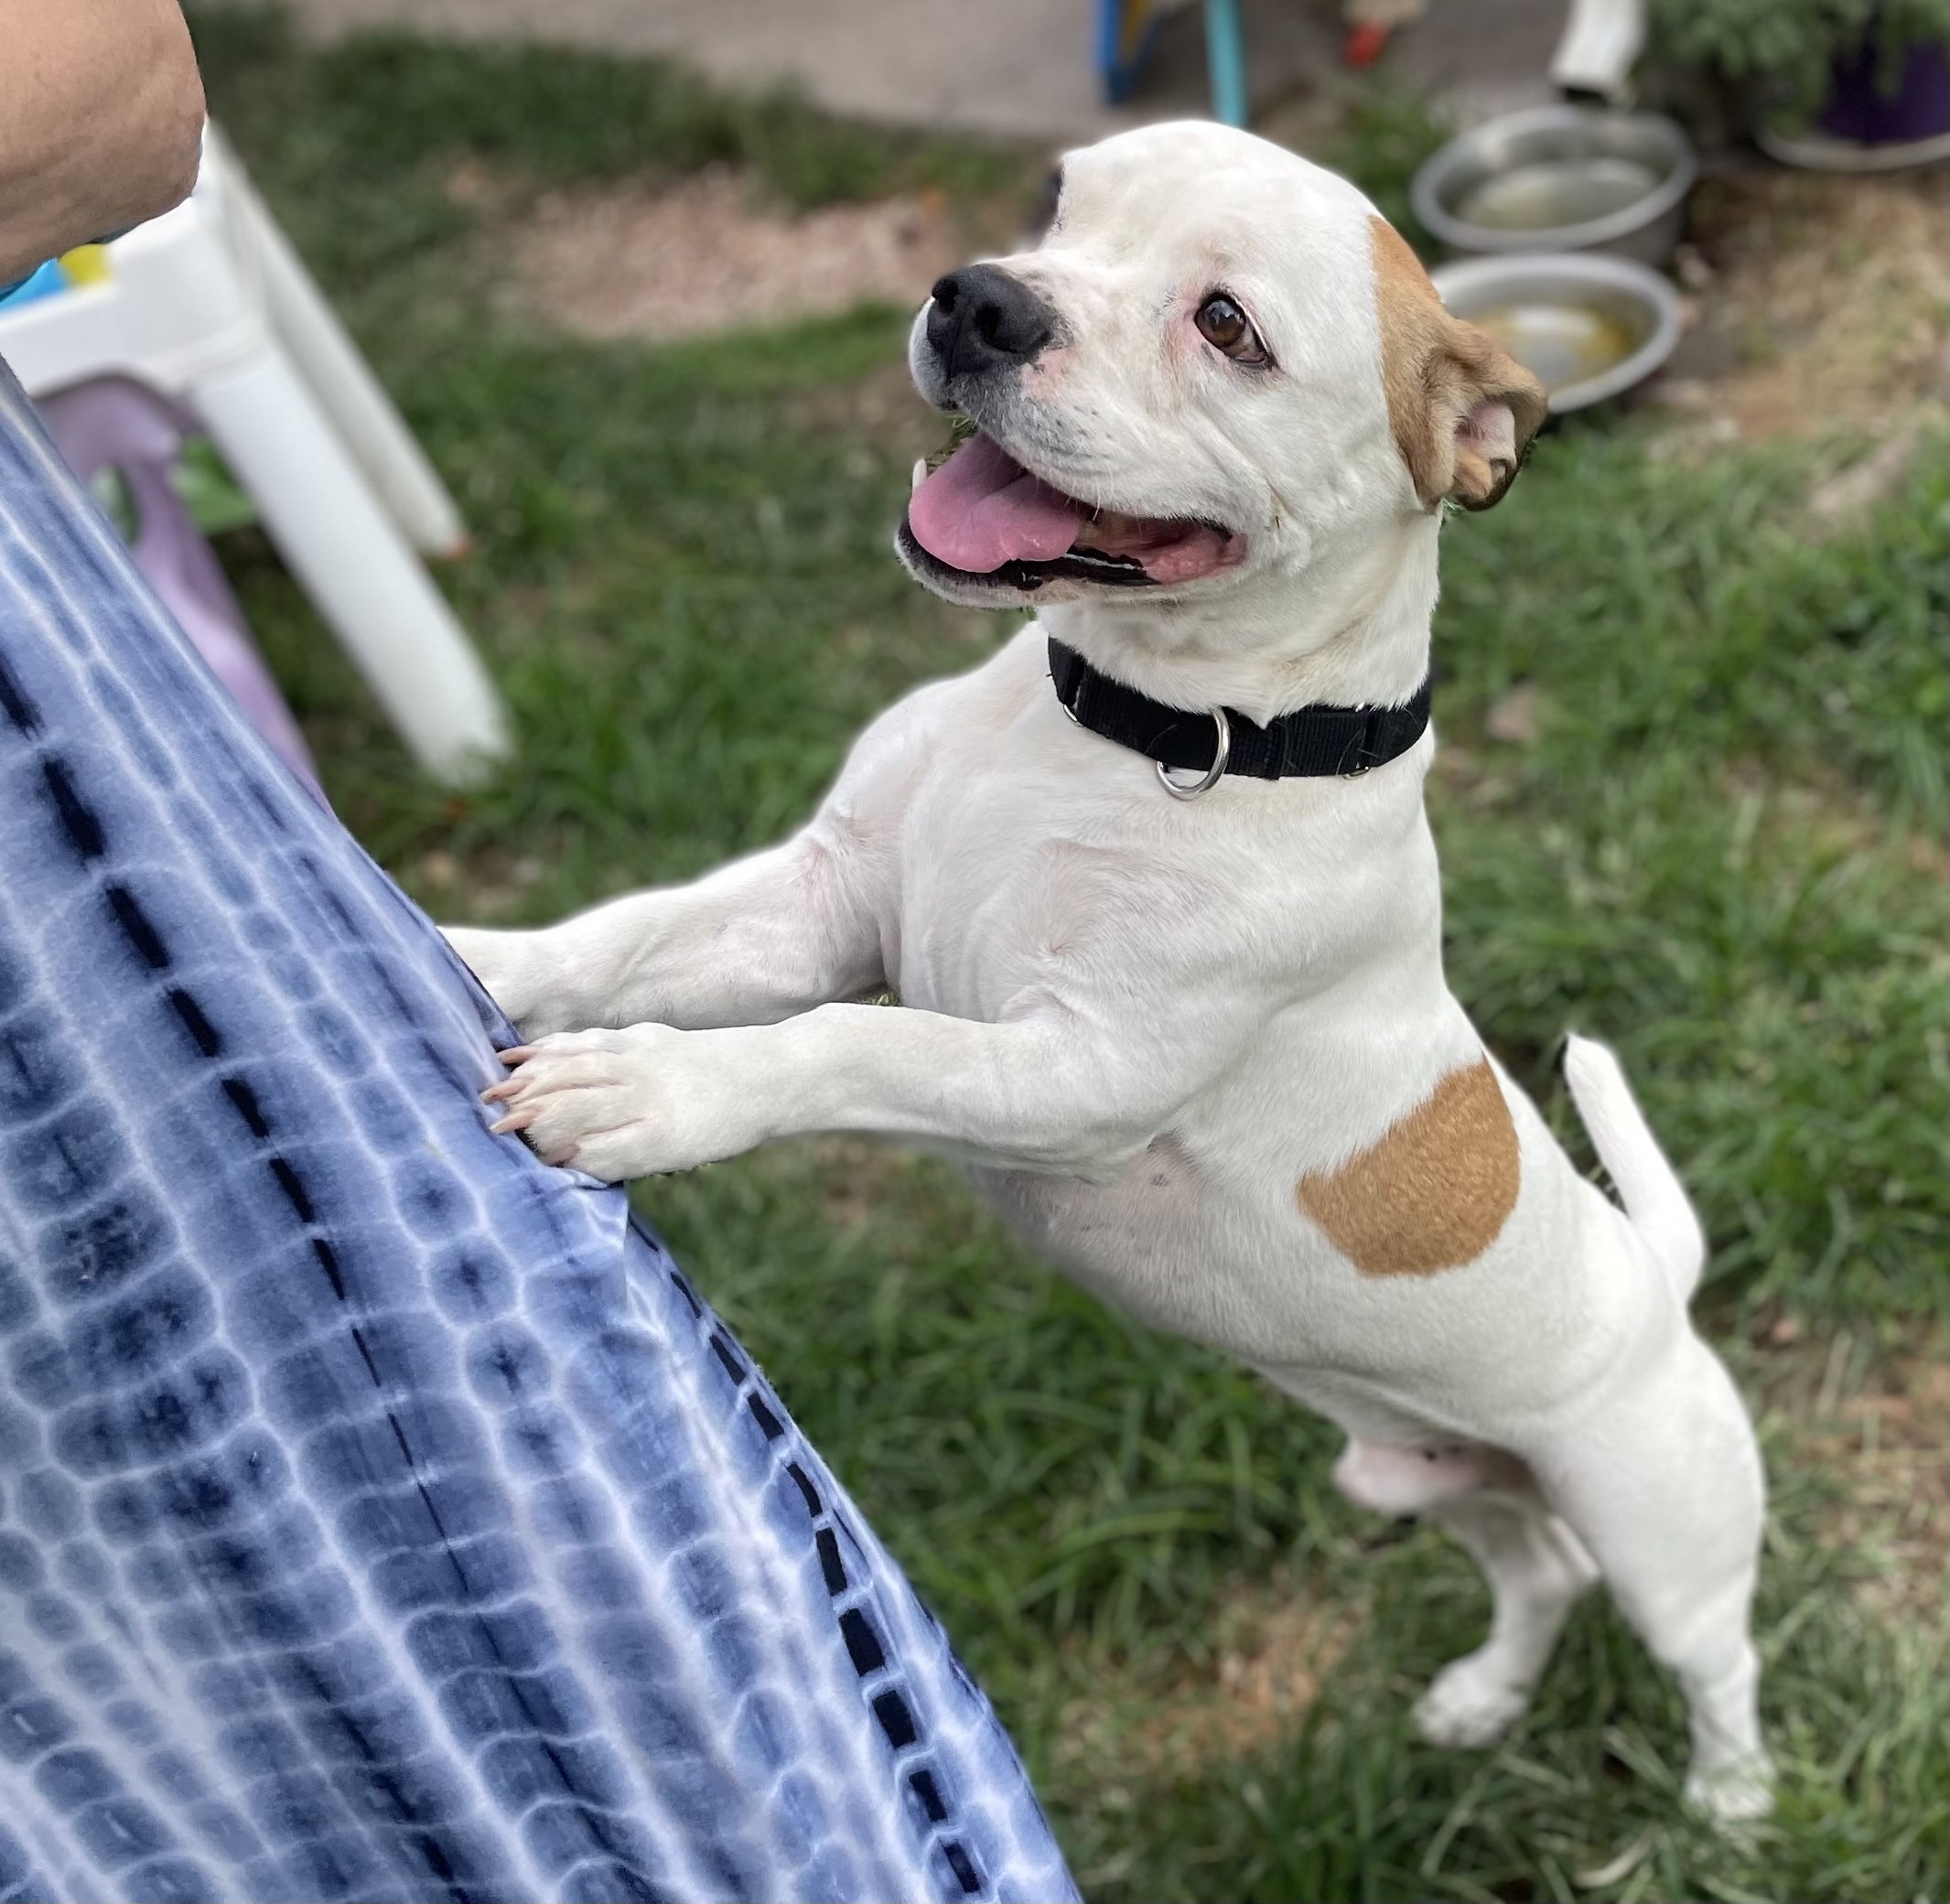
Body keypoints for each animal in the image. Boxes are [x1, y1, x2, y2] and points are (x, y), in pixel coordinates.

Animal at [448, 126, 1778, 1823]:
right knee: (1533, 1568)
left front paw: (647, 1090)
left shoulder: (1069, 1072)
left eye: (1226, 326)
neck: (1133, 728)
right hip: (1420, 1475)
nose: (978, 301)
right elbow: (620, 937)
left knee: (1706, 1654)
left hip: (1660, 1529)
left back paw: (1732, 1798)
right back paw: (1483, 1696)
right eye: (1060, 200)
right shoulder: (818, 910)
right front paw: (470, 949)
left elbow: (846, 1051)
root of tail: (1655, 1284)